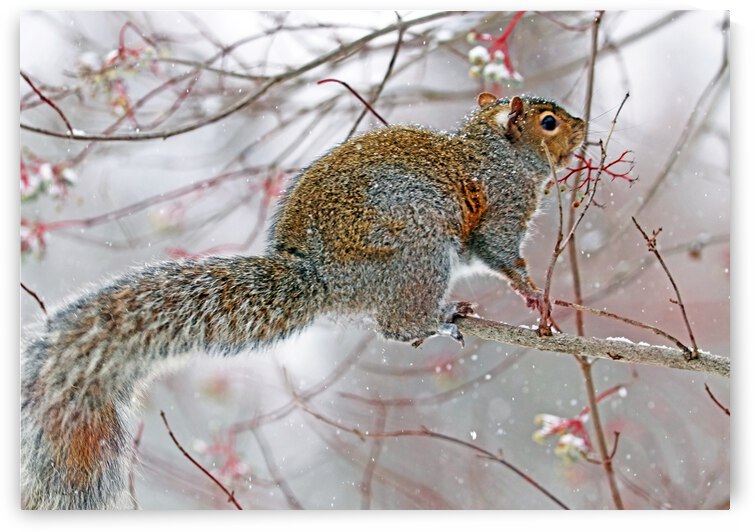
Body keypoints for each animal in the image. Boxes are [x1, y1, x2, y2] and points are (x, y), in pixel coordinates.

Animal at [20, 92, 585, 509]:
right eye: (549, 122)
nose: (584, 129)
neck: (496, 150)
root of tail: (323, 277)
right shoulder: (501, 209)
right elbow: (501, 254)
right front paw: (531, 291)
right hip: (419, 252)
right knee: (396, 324)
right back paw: (439, 318)